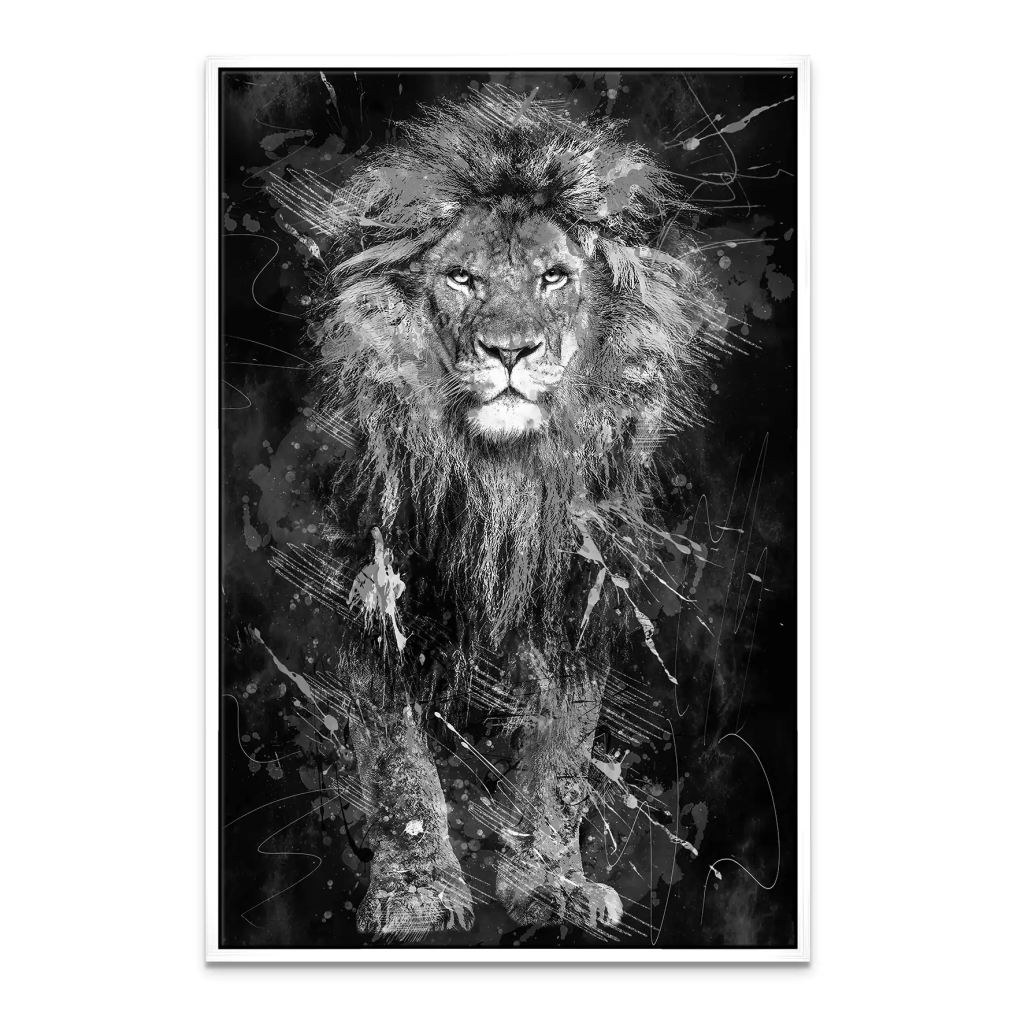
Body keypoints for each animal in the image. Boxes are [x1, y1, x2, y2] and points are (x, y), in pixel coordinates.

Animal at [267, 84, 724, 940]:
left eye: (554, 278)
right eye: (460, 279)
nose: (510, 351)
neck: (499, 481)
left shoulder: (576, 599)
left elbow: (563, 761)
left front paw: (554, 886)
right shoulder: (376, 592)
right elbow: (400, 765)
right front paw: (416, 894)